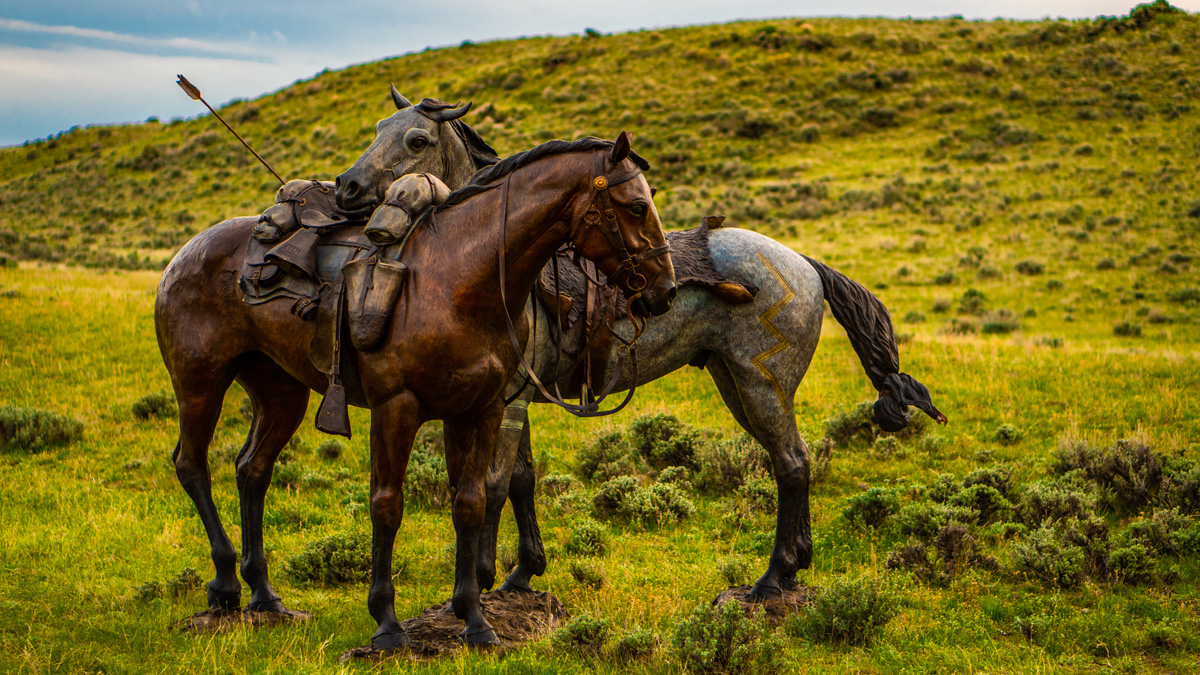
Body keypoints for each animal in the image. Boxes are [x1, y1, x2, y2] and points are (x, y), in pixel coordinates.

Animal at [155, 132, 676, 647]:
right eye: (636, 206)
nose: (666, 291)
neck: (458, 277)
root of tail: (186, 252)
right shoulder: (396, 408)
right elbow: (387, 505)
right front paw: (386, 623)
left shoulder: (481, 408)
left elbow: (471, 503)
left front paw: (473, 618)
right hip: (200, 382)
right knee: (192, 465)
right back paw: (225, 583)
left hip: (280, 391)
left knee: (252, 469)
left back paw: (263, 594)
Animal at [337, 88, 946, 603]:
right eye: (380, 128)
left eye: (416, 140)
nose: (346, 188)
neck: (504, 265)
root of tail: (806, 265)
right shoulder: (511, 399)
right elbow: (521, 479)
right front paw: (523, 572)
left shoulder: (506, 400)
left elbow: (491, 483)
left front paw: (483, 581)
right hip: (736, 384)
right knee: (788, 461)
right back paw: (796, 566)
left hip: (762, 384)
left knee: (794, 464)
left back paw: (772, 579)